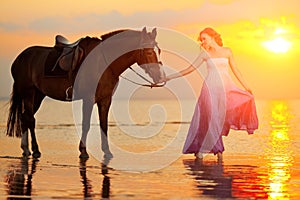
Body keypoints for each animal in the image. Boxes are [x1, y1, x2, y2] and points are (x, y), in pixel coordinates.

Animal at [5, 27, 165, 160]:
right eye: (149, 51)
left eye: (159, 51)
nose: (160, 76)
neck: (103, 62)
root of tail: (19, 59)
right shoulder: (88, 99)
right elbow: (86, 124)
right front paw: (83, 151)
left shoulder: (105, 99)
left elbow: (104, 125)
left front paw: (107, 151)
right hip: (28, 93)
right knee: (30, 119)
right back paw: (34, 149)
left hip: (38, 95)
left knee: (25, 117)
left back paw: (26, 149)